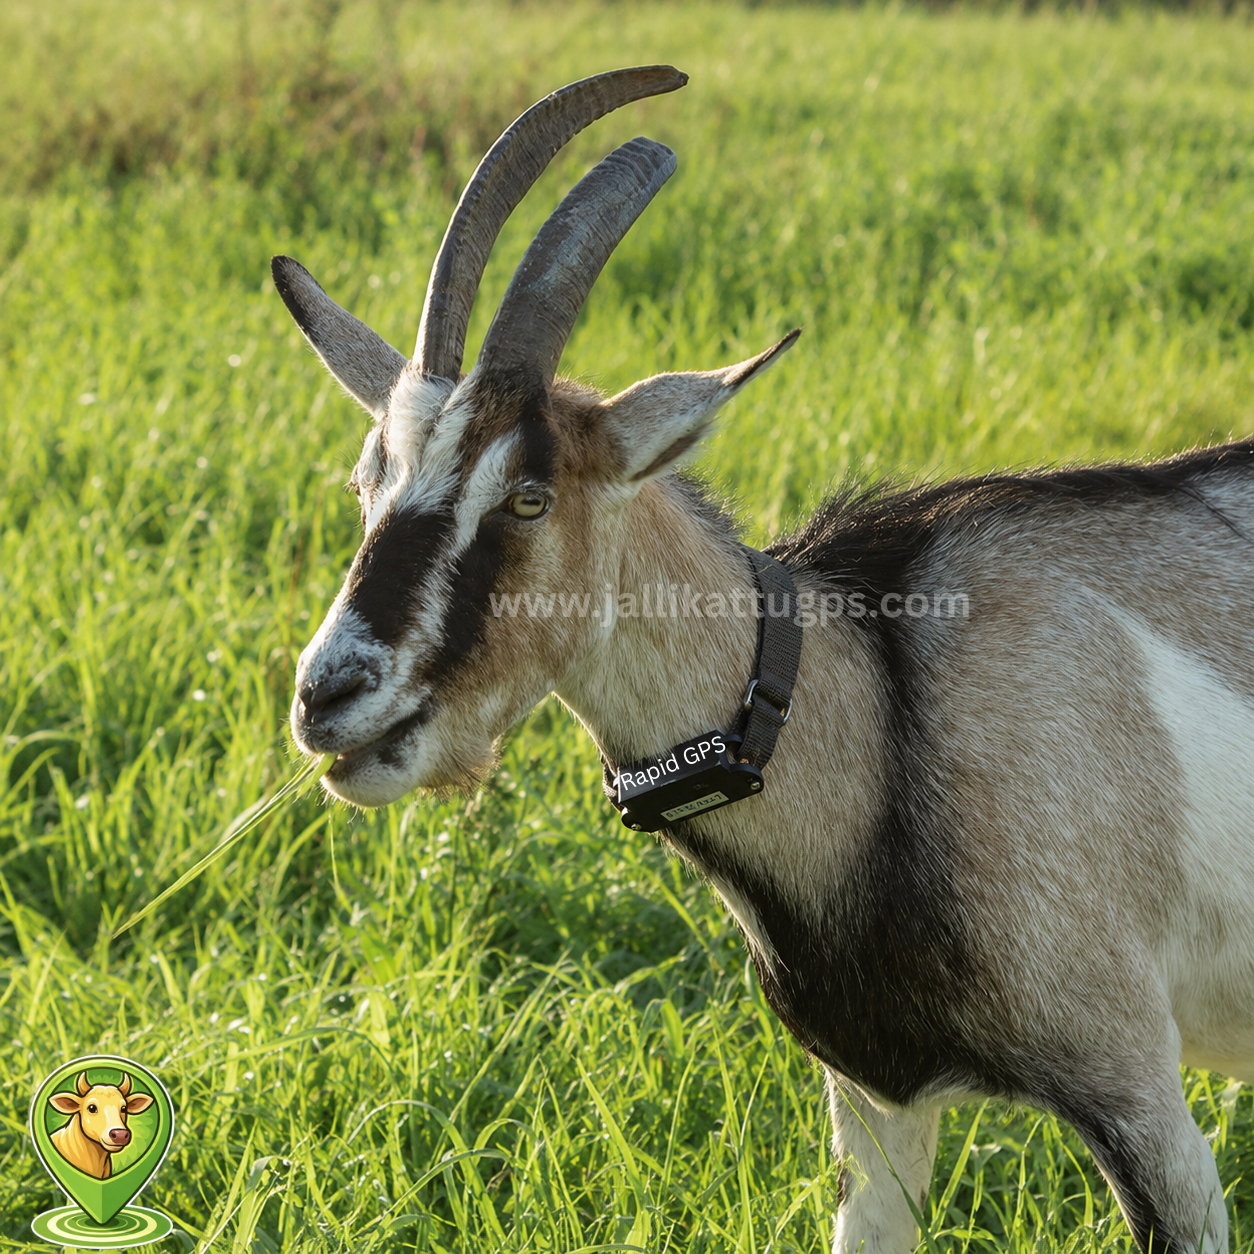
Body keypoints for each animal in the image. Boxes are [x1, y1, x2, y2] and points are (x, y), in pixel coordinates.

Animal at [273, 67, 1254, 1254]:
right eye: (366, 484)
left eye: (530, 496)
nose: (329, 697)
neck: (879, 708)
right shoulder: (876, 1098)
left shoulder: (1138, 1094)